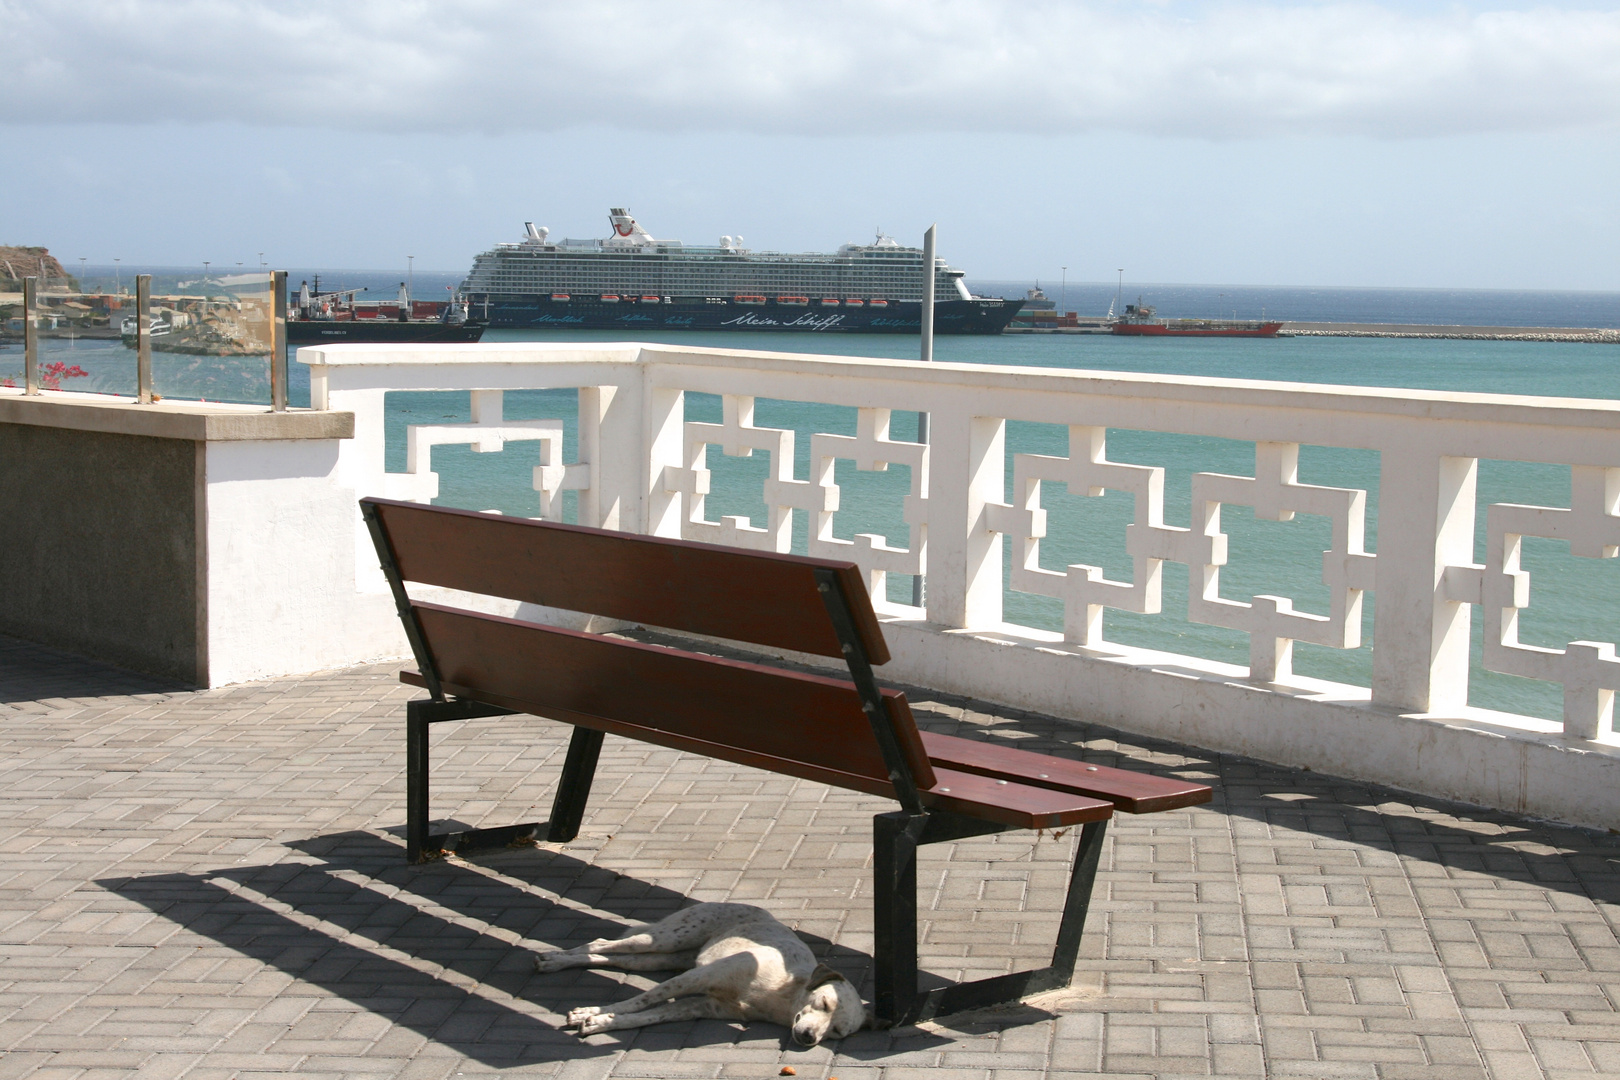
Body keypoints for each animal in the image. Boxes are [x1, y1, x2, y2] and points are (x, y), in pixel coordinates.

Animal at [534, 906, 868, 1049]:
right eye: (824, 1003)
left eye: (837, 1031)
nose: (810, 1037)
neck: (781, 996)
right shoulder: (697, 976)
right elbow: (639, 1001)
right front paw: (591, 1012)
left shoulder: (701, 1007)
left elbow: (647, 1016)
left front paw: (599, 1022)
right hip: (667, 939)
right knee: (600, 943)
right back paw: (554, 959)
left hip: (662, 959)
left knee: (614, 957)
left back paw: (560, 961)